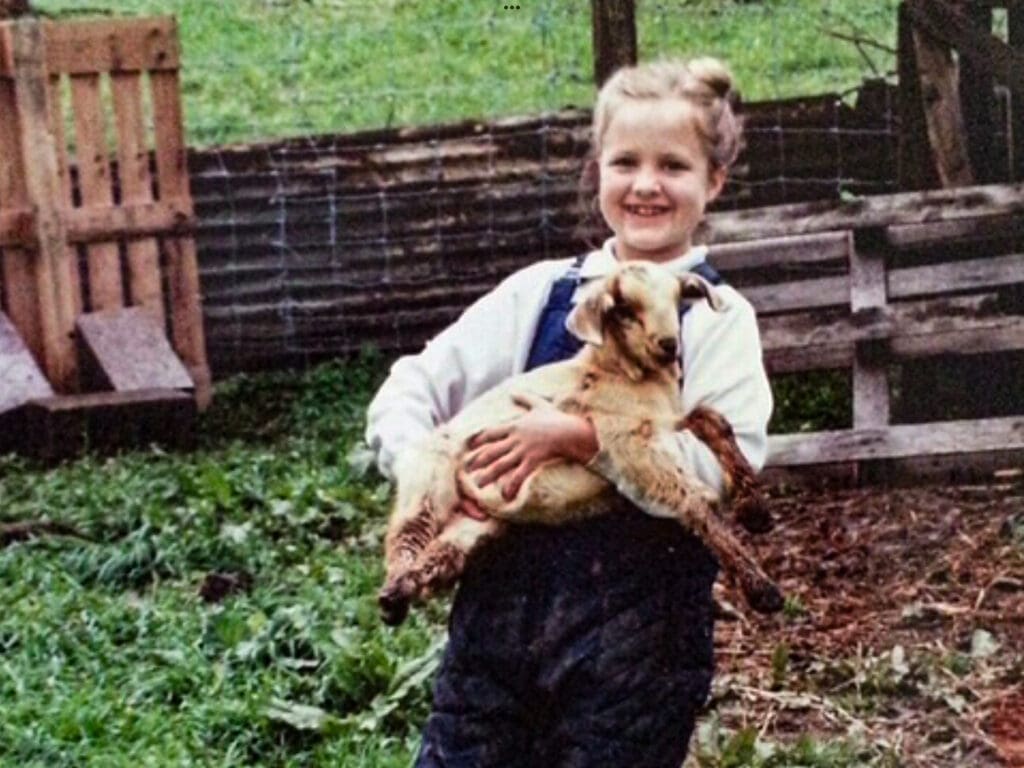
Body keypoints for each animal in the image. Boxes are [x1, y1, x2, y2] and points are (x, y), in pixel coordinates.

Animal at [380, 262, 778, 626]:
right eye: (625, 310)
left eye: (677, 299)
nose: (668, 345)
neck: (620, 372)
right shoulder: (625, 443)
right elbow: (696, 502)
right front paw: (761, 589)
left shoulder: (665, 425)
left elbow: (713, 419)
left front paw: (756, 509)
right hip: (428, 481)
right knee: (406, 536)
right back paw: (391, 595)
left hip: (477, 522)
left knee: (442, 551)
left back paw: (400, 595)